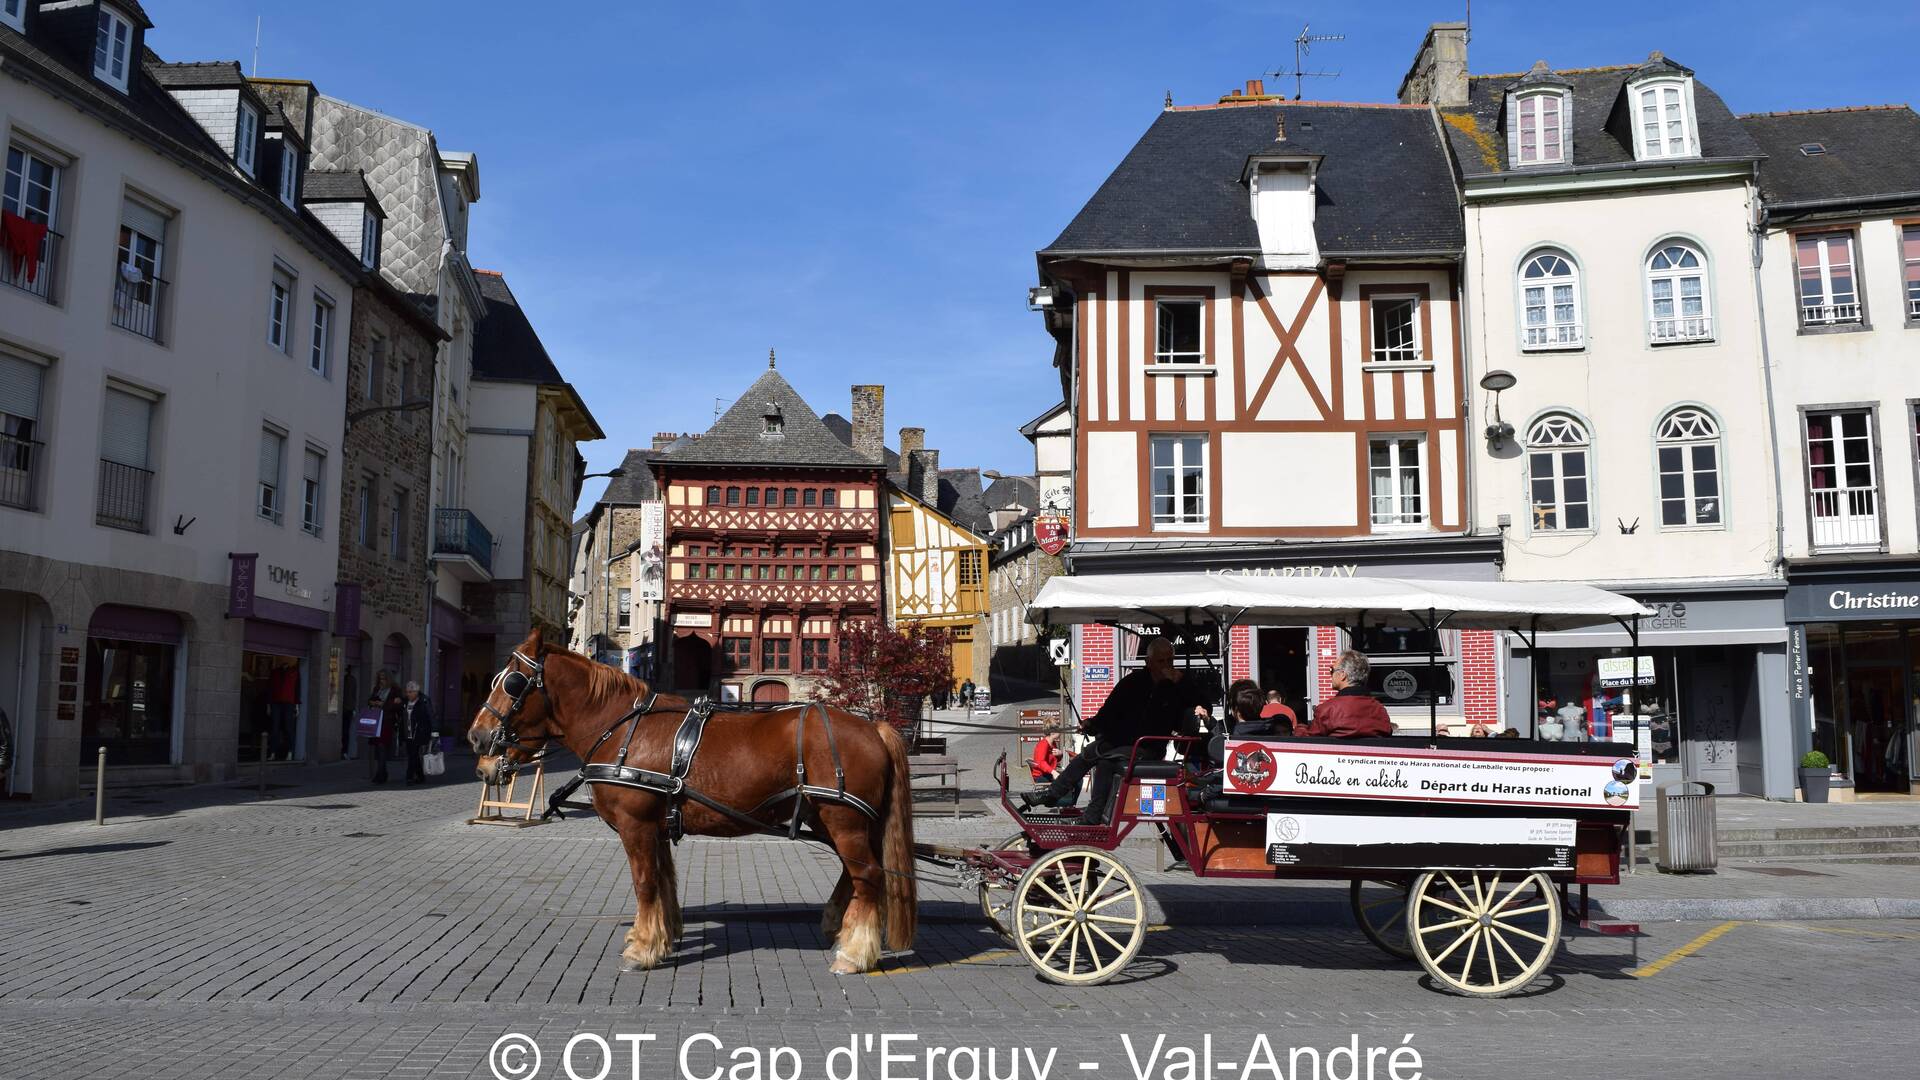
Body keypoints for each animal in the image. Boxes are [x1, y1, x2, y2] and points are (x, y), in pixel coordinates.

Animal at [464, 622, 913, 968]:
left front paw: (642, 949)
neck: (622, 729)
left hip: (843, 819)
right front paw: (658, 939)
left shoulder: (636, 826)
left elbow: (645, 882)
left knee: (869, 876)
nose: (477, 738)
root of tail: (874, 727)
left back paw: (855, 953)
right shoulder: (656, 828)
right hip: (830, 817)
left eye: (513, 683)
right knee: (855, 873)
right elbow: (664, 882)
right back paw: (839, 927)